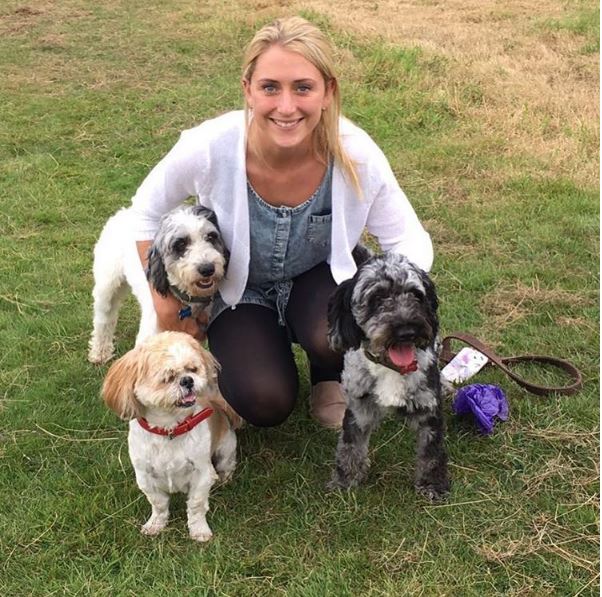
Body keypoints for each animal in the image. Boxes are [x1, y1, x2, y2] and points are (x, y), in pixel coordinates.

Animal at [88, 205, 227, 364]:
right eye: (180, 244)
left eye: (211, 237)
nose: (207, 268)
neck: (187, 301)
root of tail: (125, 210)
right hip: (107, 287)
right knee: (104, 318)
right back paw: (100, 352)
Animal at [326, 249, 448, 500]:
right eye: (377, 298)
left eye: (416, 295)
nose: (407, 331)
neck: (390, 367)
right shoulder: (358, 408)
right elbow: (349, 447)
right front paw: (345, 480)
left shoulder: (429, 409)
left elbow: (431, 452)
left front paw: (432, 484)